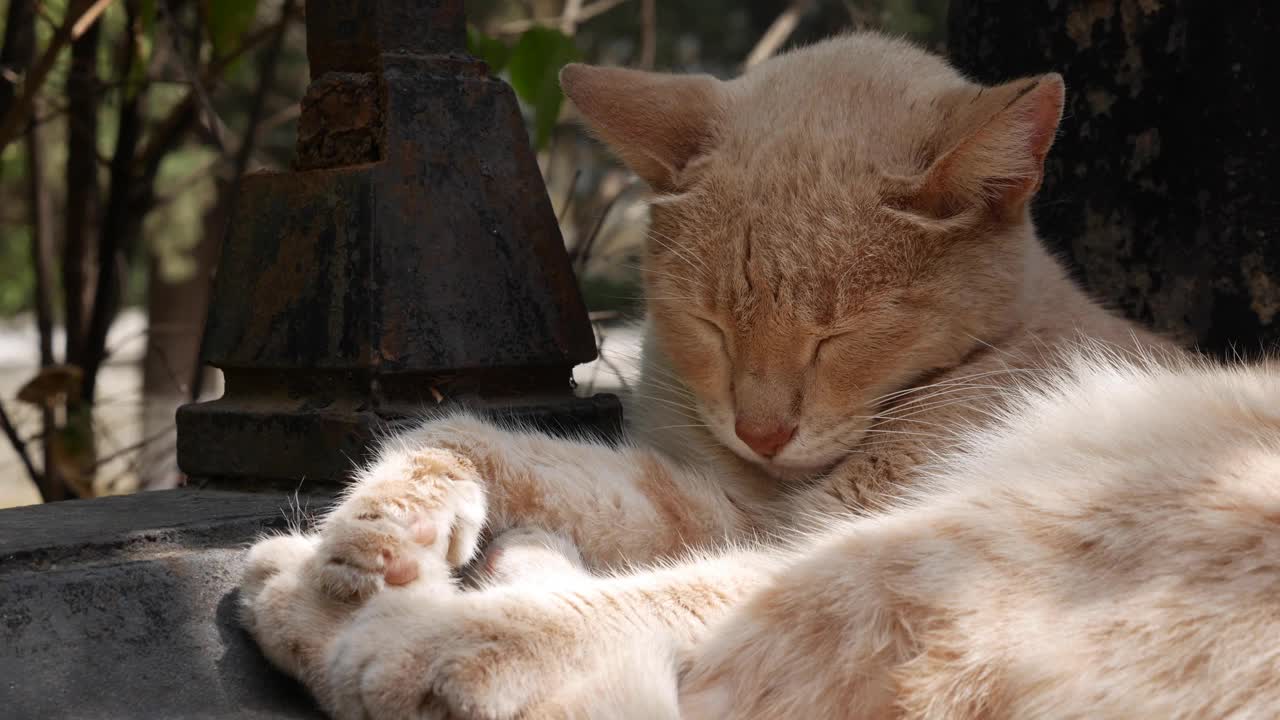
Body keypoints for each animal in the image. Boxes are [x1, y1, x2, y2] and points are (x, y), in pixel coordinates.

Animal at [232, 33, 1249, 717]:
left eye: (839, 336)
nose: (762, 430)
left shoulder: (803, 527)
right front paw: (384, 517)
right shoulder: (723, 501)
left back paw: (334, 607)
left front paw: (342, 574)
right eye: (711, 324)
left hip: (922, 557)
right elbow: (473, 437)